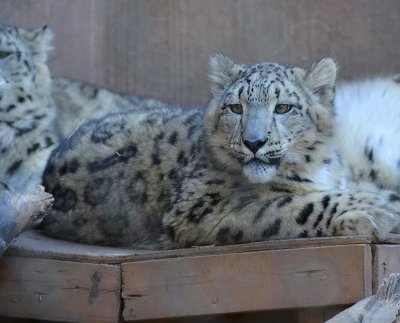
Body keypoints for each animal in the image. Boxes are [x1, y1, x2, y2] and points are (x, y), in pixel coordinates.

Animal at [39, 54, 400, 249]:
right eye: (236, 107)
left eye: (283, 107)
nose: (253, 142)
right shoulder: (203, 208)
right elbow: (290, 206)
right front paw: (373, 209)